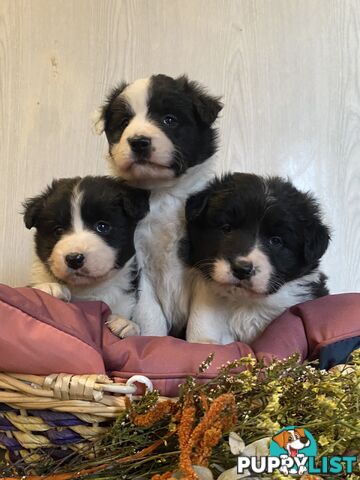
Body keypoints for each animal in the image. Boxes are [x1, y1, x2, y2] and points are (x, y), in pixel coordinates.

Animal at [23, 176, 149, 338]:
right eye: (58, 230)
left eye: (102, 226)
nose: (74, 258)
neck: (86, 289)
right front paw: (49, 287)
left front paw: (126, 323)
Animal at [93, 76, 222, 338]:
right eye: (124, 123)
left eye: (169, 120)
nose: (138, 142)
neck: (163, 193)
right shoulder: (138, 259)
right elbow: (148, 310)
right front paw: (151, 338)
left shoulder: (204, 258)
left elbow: (202, 316)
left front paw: (204, 343)